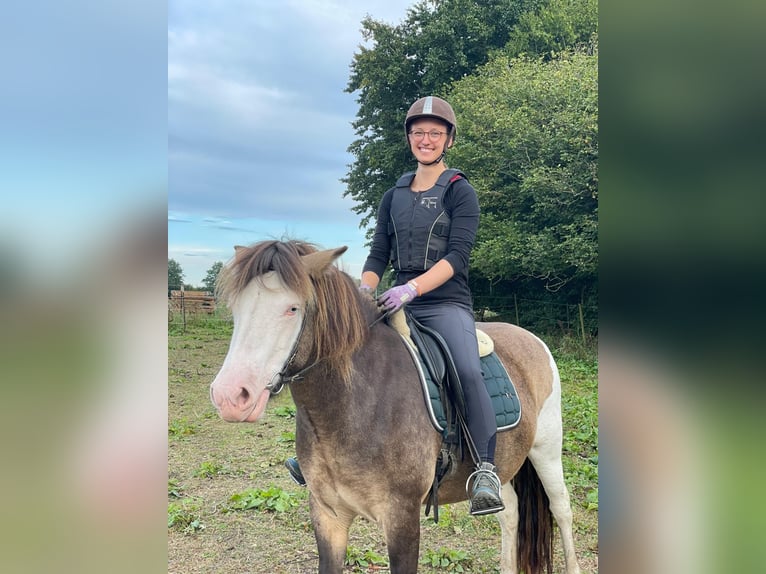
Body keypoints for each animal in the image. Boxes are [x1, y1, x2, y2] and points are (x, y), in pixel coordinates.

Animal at [209, 239, 582, 574]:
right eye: (237, 309)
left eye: (292, 308)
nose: (230, 396)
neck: (355, 407)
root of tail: (529, 336)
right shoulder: (328, 515)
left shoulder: (402, 518)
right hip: (501, 463)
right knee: (511, 512)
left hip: (547, 448)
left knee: (561, 508)